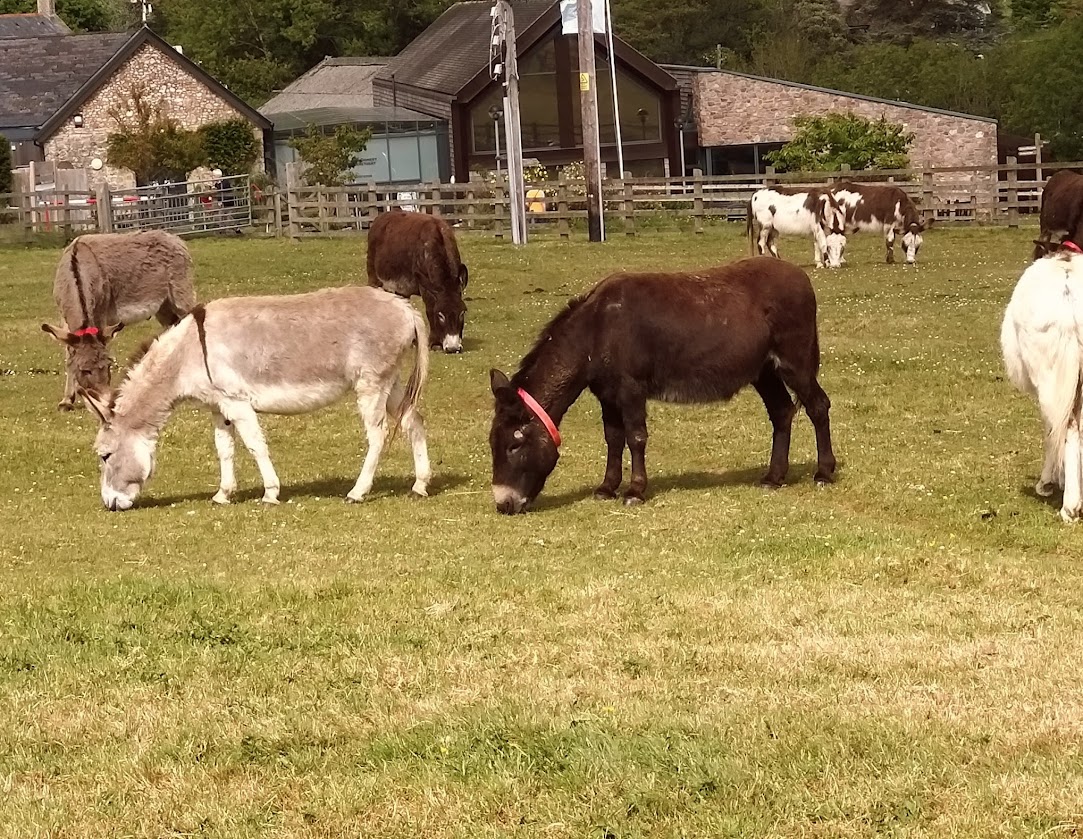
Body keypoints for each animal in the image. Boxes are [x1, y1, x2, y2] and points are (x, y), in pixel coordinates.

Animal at [41, 230, 196, 411]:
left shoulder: (100, 315)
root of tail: (173, 237)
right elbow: (68, 356)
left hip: (181, 296)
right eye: (85, 370)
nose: (105, 402)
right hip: (164, 307)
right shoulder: (65, 322)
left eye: (108, 366)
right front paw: (66, 400)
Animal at [79, 286, 432, 511]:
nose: (109, 505)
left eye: (105, 456)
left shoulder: (237, 402)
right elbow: (224, 449)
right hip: (391, 382)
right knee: (413, 420)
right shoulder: (218, 406)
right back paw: (420, 485)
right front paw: (223, 495)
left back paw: (357, 492)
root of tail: (405, 308)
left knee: (378, 434)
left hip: (371, 383)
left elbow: (254, 446)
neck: (189, 352)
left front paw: (270, 493)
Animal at [366, 209, 468, 353]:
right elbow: (429, 308)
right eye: (440, 315)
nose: (453, 348)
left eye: (462, 313)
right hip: (374, 276)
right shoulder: (425, 286)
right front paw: (434, 343)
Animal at [488, 257, 837, 514]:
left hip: (794, 362)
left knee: (818, 406)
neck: (596, 331)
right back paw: (773, 478)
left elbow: (636, 437)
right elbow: (613, 438)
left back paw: (824, 473)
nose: (503, 505)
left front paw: (635, 491)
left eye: (513, 446)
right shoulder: (607, 394)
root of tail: (800, 275)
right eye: (492, 445)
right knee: (782, 412)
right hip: (763, 370)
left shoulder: (630, 389)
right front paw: (606, 488)